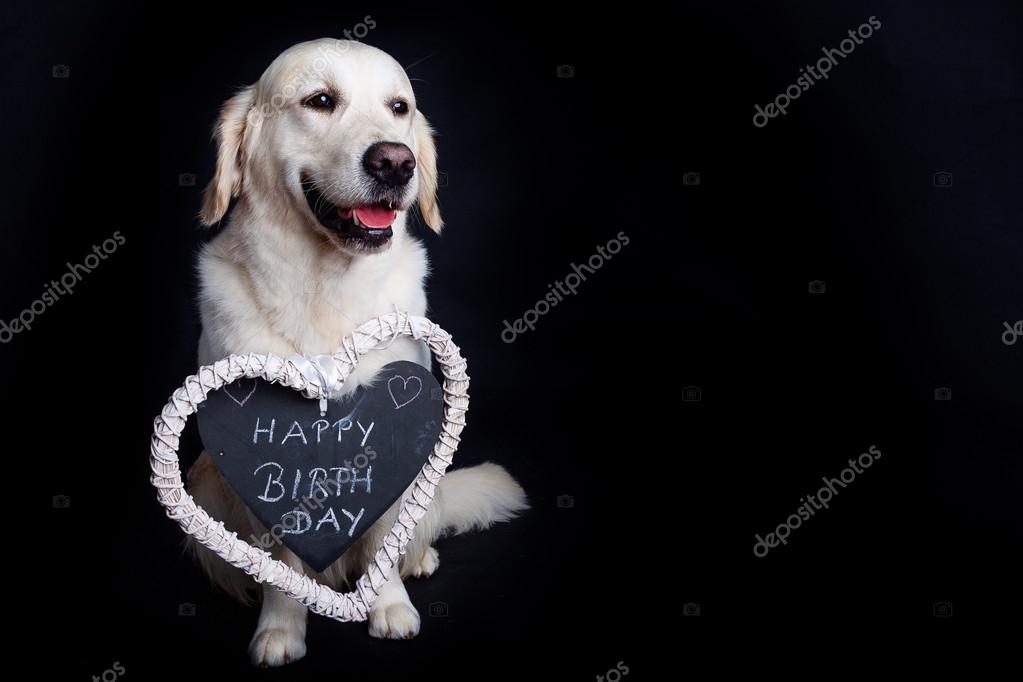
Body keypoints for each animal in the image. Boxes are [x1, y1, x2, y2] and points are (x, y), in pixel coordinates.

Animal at [186, 37, 527, 666]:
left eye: (399, 108)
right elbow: (283, 558)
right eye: (320, 100)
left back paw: (420, 559)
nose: (395, 161)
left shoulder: (400, 438)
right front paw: (280, 628)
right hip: (205, 481)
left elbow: (382, 538)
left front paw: (388, 606)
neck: (326, 287)